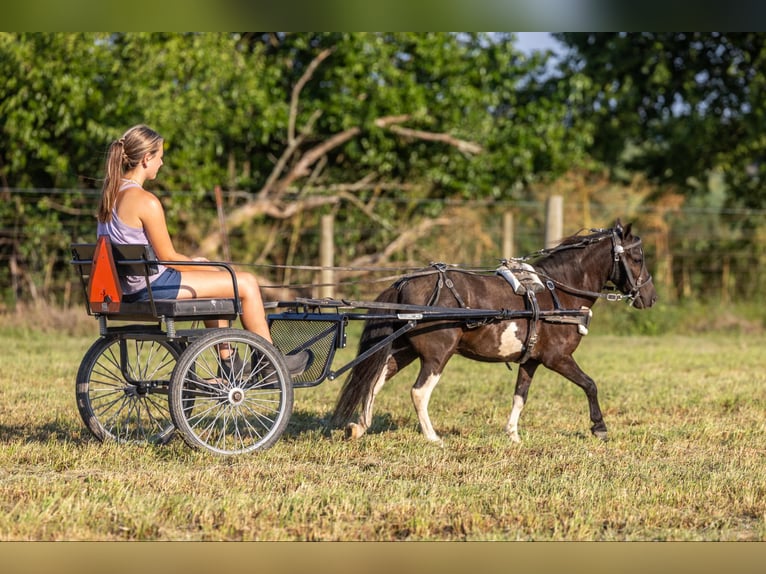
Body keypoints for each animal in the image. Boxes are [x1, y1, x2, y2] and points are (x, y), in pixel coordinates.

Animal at [332, 222, 660, 446]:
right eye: (637, 258)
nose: (651, 297)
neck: (558, 291)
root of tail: (403, 283)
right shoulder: (558, 358)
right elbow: (590, 385)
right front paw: (599, 427)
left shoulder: (531, 361)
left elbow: (520, 396)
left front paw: (512, 434)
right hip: (437, 355)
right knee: (418, 392)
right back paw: (433, 437)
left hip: (404, 350)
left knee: (374, 382)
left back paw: (360, 427)